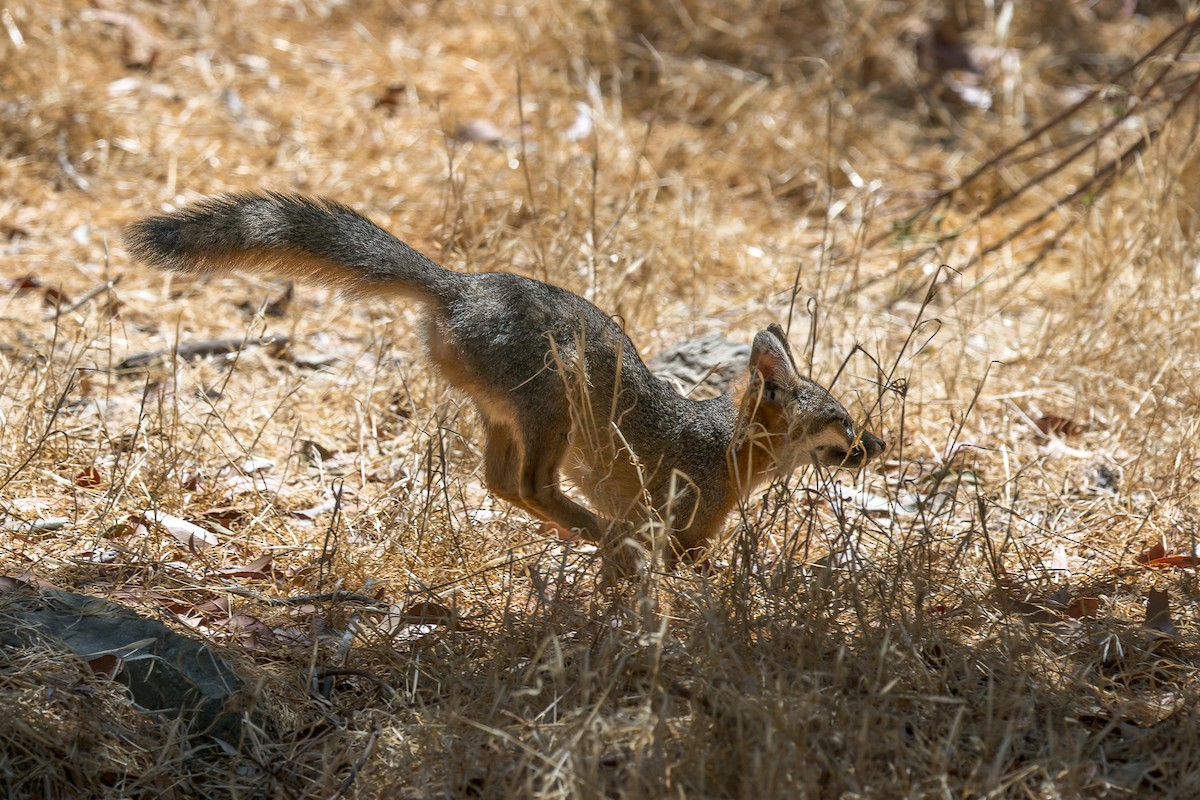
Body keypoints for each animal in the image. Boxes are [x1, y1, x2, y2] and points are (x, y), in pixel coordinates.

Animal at [125, 193, 885, 564]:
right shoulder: (685, 521)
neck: (721, 446)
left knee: (500, 484)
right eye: (843, 421)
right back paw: (597, 527)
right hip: (557, 400)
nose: (878, 446)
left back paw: (588, 527)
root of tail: (462, 284)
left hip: (504, 416)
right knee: (530, 485)